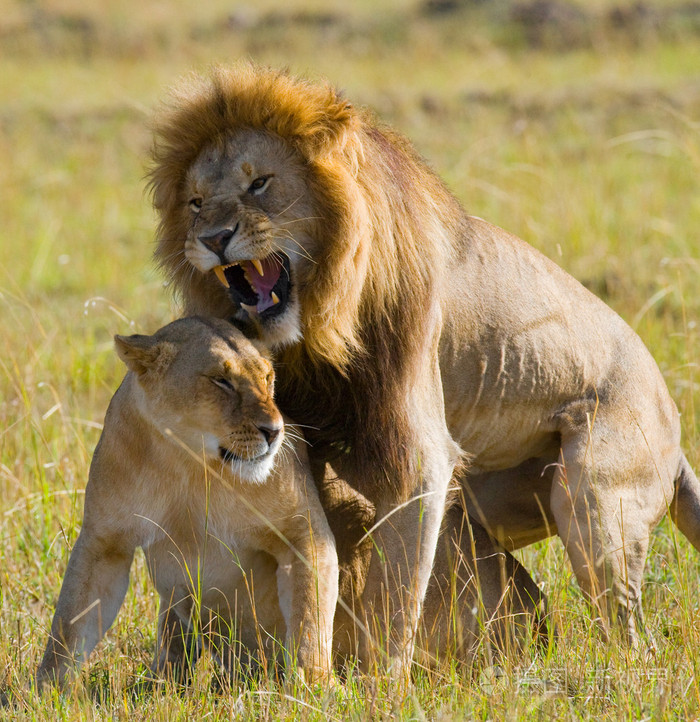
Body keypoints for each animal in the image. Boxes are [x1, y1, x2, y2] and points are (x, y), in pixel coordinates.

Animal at [36, 316, 340, 688]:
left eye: (268, 378)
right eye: (221, 381)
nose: (274, 431)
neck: (189, 460)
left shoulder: (302, 531)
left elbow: (310, 612)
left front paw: (313, 684)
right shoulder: (104, 543)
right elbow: (70, 621)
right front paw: (46, 689)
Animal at [148, 63, 700, 668]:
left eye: (260, 184)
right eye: (195, 202)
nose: (212, 239)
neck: (317, 329)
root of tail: (675, 428)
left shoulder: (414, 447)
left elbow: (393, 594)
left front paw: (377, 681)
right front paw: (167, 669)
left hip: (595, 499)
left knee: (628, 631)